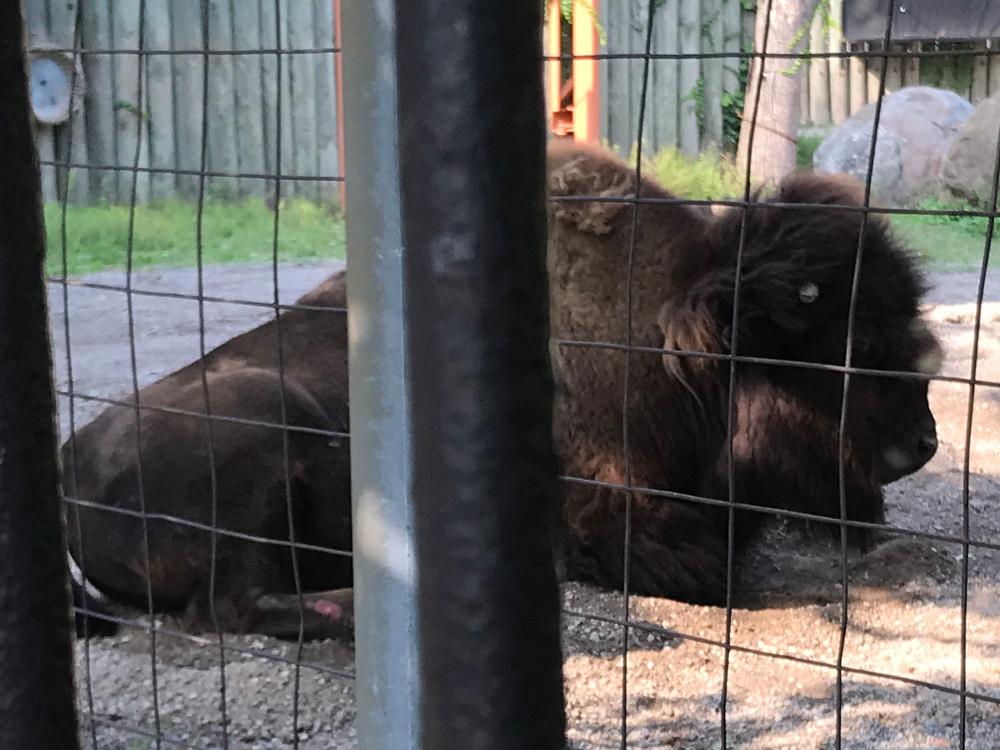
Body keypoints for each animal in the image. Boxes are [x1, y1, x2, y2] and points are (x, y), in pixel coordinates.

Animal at [66, 142, 940, 640]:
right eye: (852, 342)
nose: (924, 443)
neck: (671, 336)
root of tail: (72, 476)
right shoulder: (609, 517)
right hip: (266, 417)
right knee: (232, 605)